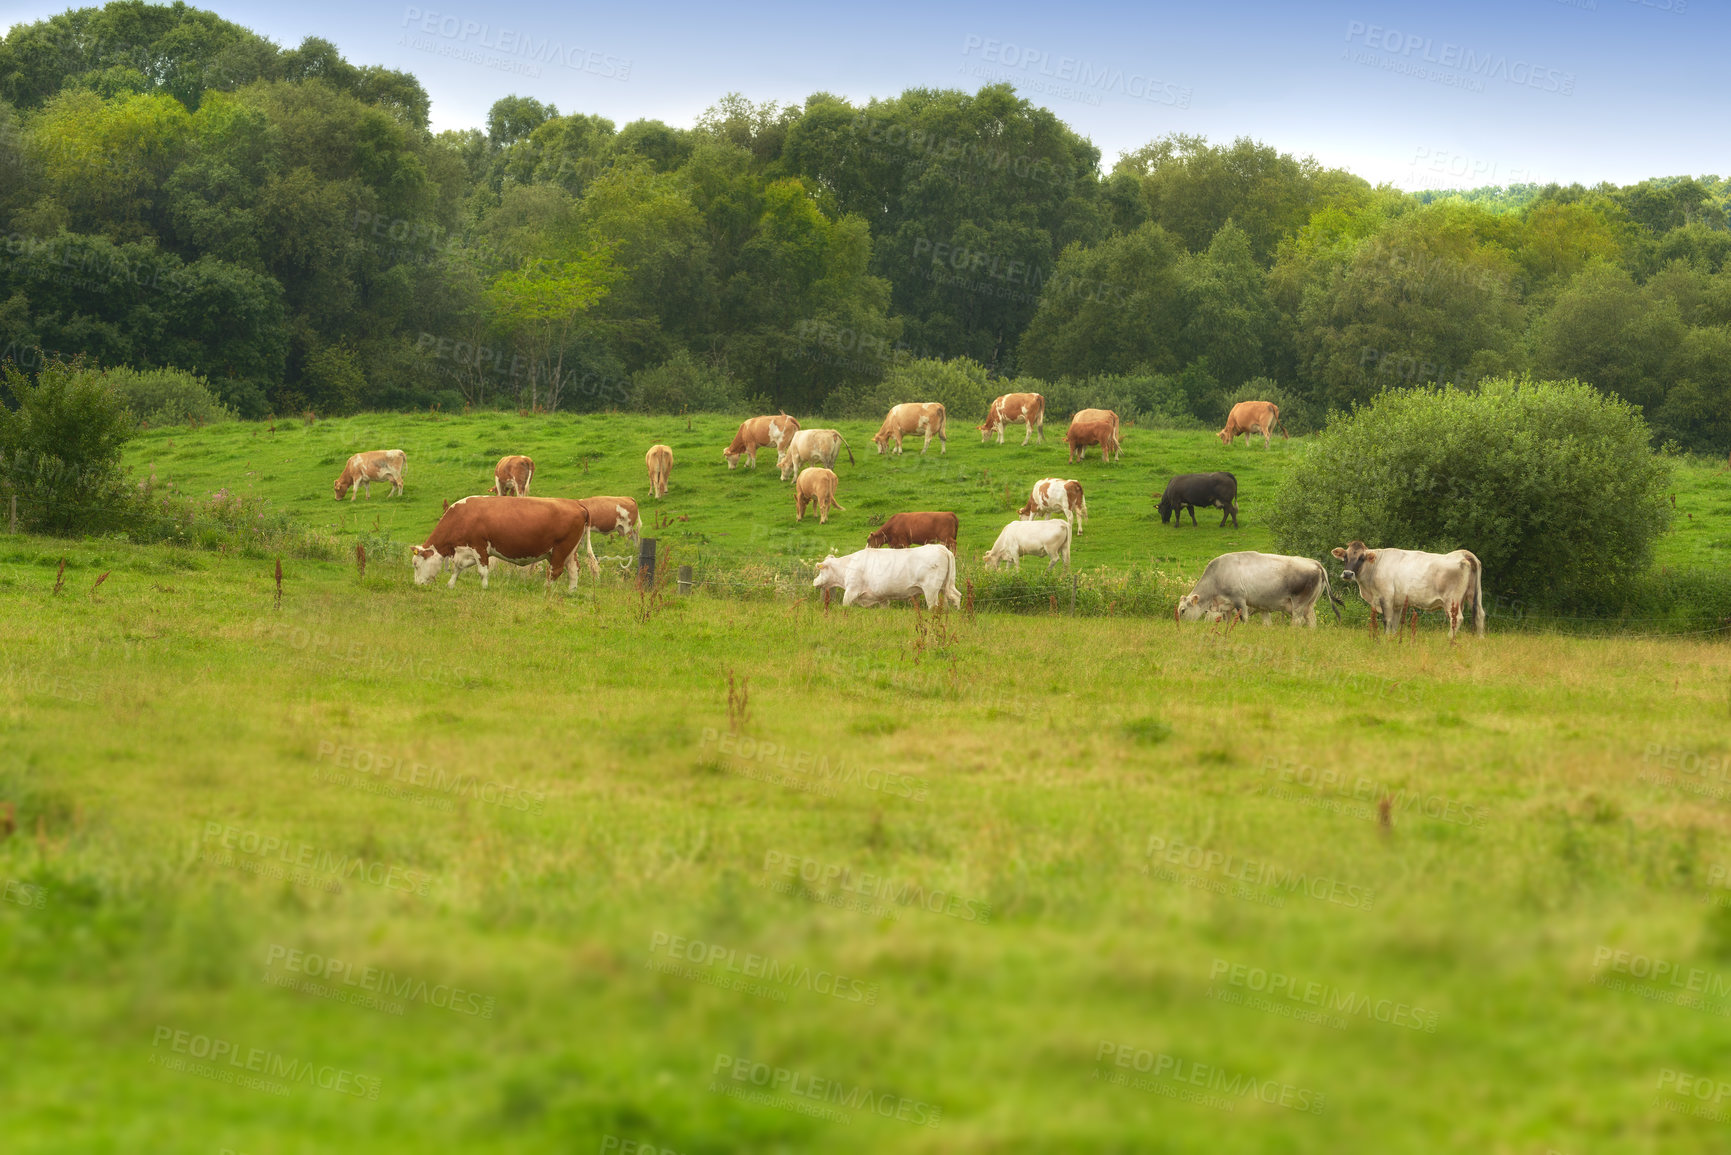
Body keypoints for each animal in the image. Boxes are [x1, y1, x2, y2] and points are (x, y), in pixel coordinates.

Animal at [408, 495, 592, 592]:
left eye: (416, 564)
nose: (417, 585)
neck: (462, 515)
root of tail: (576, 504)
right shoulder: (464, 550)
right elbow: (457, 568)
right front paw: (450, 584)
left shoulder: (479, 546)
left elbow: (482, 571)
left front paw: (484, 588)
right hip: (570, 551)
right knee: (574, 570)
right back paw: (571, 591)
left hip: (561, 548)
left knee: (555, 571)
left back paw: (546, 589)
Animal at [810, 543, 962, 609]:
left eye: (820, 570)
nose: (814, 582)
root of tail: (941, 548)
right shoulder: (882, 597)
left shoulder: (851, 590)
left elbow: (845, 604)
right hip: (945, 586)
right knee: (955, 597)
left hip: (931, 589)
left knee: (933, 605)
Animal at [1170, 554, 1343, 633]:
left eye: (1183, 610)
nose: (1180, 627)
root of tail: (1315, 563)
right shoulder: (1237, 606)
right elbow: (1228, 620)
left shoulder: (1240, 600)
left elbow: (1243, 619)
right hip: (1310, 605)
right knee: (1312, 621)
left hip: (1298, 604)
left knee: (1297, 621)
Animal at [1322, 543, 1488, 640]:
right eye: (1345, 556)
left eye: (1362, 558)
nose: (1347, 574)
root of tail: (1463, 554)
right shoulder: (1397, 603)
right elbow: (1395, 623)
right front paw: (1393, 638)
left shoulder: (1386, 597)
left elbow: (1387, 620)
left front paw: (1386, 638)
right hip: (1474, 595)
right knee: (1480, 615)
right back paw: (1480, 640)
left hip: (1452, 600)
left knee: (1457, 618)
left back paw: (1449, 639)